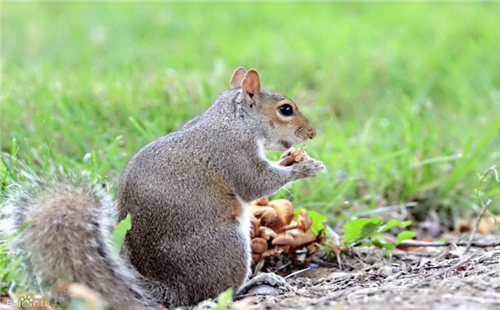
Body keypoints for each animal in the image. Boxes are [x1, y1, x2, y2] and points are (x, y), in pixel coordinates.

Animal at [0, 68, 324, 310]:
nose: (312, 133)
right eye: (286, 109)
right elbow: (255, 183)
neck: (235, 120)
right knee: (219, 292)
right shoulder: (233, 153)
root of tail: (172, 289)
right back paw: (253, 282)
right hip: (227, 244)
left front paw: (291, 158)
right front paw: (304, 169)